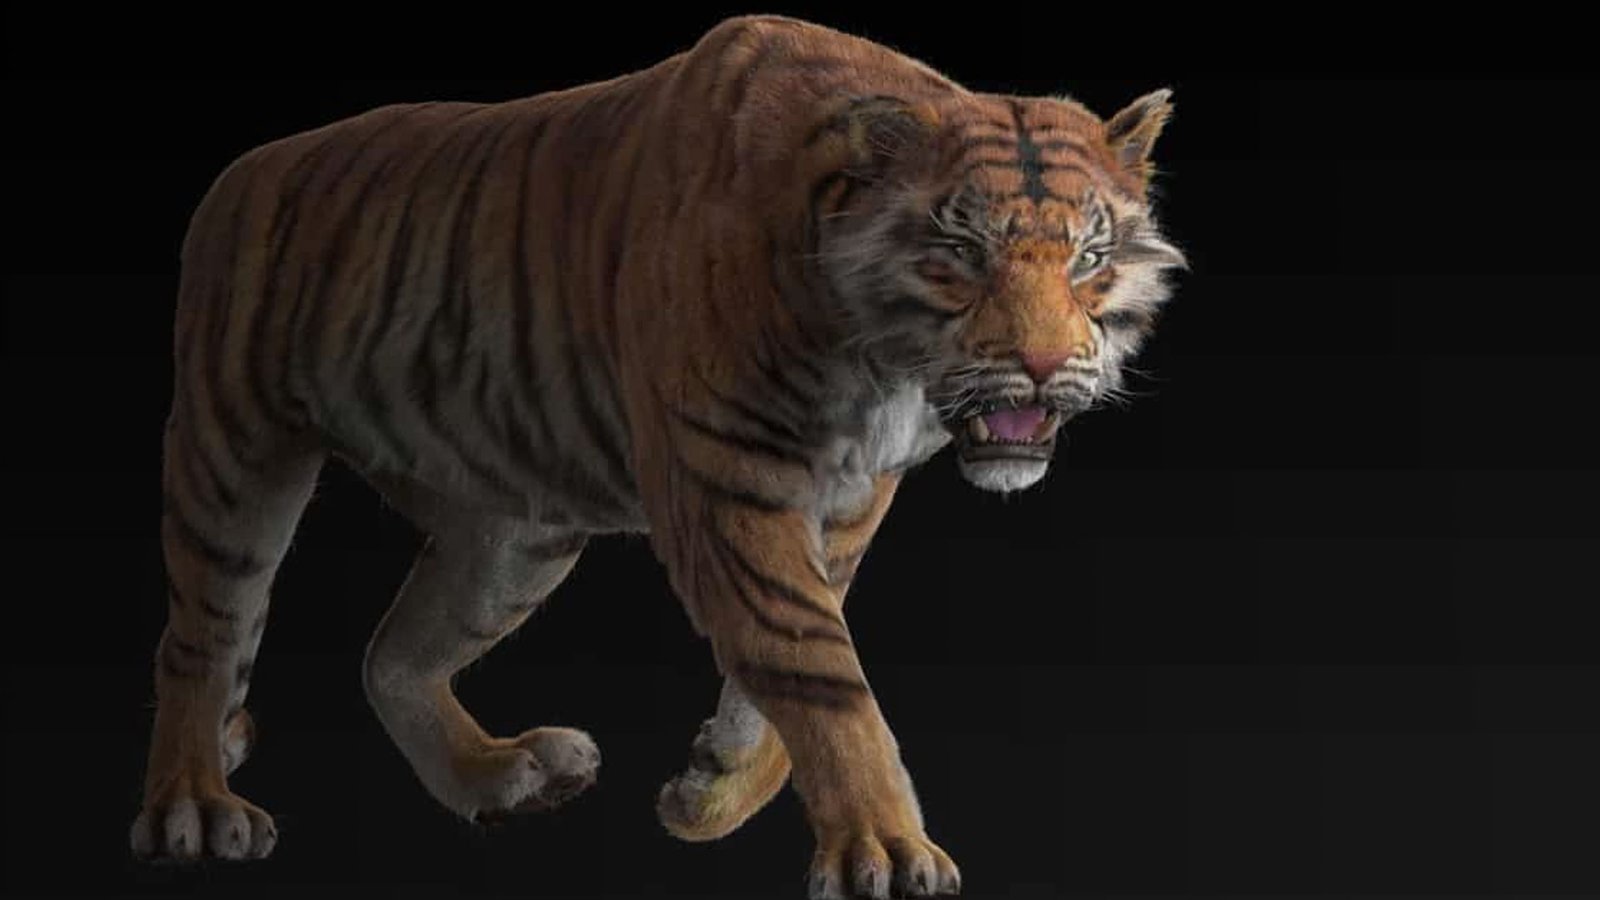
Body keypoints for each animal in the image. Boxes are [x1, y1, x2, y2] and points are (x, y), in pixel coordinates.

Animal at [131, 13, 1186, 898]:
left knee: (389, 656)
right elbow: (814, 662)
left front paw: (716, 783)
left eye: (1091, 258)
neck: (878, 366)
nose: (1042, 365)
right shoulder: (728, 480)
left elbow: (800, 646)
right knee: (200, 639)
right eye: (961, 252)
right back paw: (196, 808)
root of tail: (242, 171)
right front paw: (884, 850)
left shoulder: (850, 495)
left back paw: (497, 775)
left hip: (517, 535)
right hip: (232, 454)